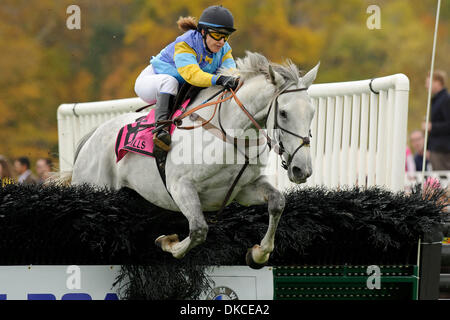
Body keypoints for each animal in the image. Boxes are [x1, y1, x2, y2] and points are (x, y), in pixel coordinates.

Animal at [70, 52, 318, 268]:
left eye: (312, 113)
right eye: (283, 113)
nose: (302, 170)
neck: (231, 134)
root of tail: (92, 136)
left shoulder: (243, 188)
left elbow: (277, 202)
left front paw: (258, 254)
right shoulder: (181, 186)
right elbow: (199, 229)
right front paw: (166, 242)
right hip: (96, 188)